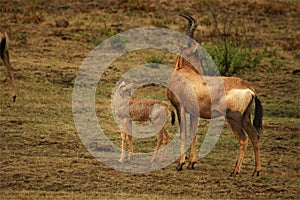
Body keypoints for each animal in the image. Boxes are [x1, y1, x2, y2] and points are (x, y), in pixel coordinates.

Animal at [168, 14, 264, 176]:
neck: (185, 72)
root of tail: (249, 89)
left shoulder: (180, 108)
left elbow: (182, 134)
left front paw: (180, 164)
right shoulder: (194, 112)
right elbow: (193, 134)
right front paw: (192, 163)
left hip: (233, 118)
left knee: (243, 139)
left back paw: (235, 171)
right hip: (245, 117)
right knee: (254, 136)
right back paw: (256, 171)